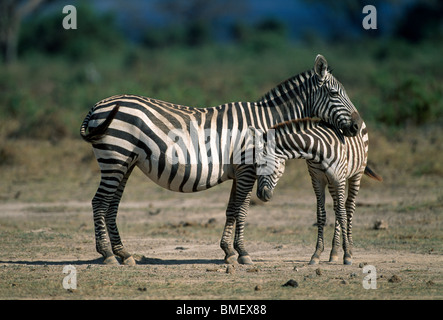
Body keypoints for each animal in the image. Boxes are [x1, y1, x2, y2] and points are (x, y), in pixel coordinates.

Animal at [251, 117, 384, 264]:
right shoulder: (317, 180)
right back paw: (334, 251)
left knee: (348, 207)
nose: (260, 195)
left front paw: (347, 254)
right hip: (331, 183)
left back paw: (350, 247)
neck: (317, 152)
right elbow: (321, 214)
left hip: (356, 174)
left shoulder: (339, 179)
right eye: (255, 165)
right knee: (337, 207)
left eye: (265, 164)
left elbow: (342, 213)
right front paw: (317, 253)